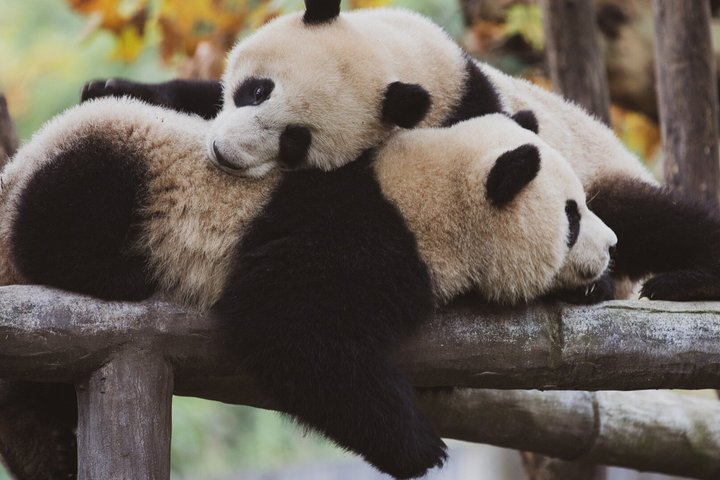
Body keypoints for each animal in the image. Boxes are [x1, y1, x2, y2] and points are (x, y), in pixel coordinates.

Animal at [0, 97, 615, 479]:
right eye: (572, 216)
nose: (610, 246)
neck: (428, 196)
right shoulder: (356, 232)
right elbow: (290, 327)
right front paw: (422, 448)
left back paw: (48, 453)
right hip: (116, 162)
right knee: (74, 210)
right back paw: (121, 274)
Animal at [83, 0, 720, 303]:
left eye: (295, 141)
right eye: (255, 90)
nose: (223, 152)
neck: (415, 68)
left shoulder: (472, 115)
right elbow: (189, 97)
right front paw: (108, 87)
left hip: (604, 180)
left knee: (653, 218)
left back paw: (677, 280)